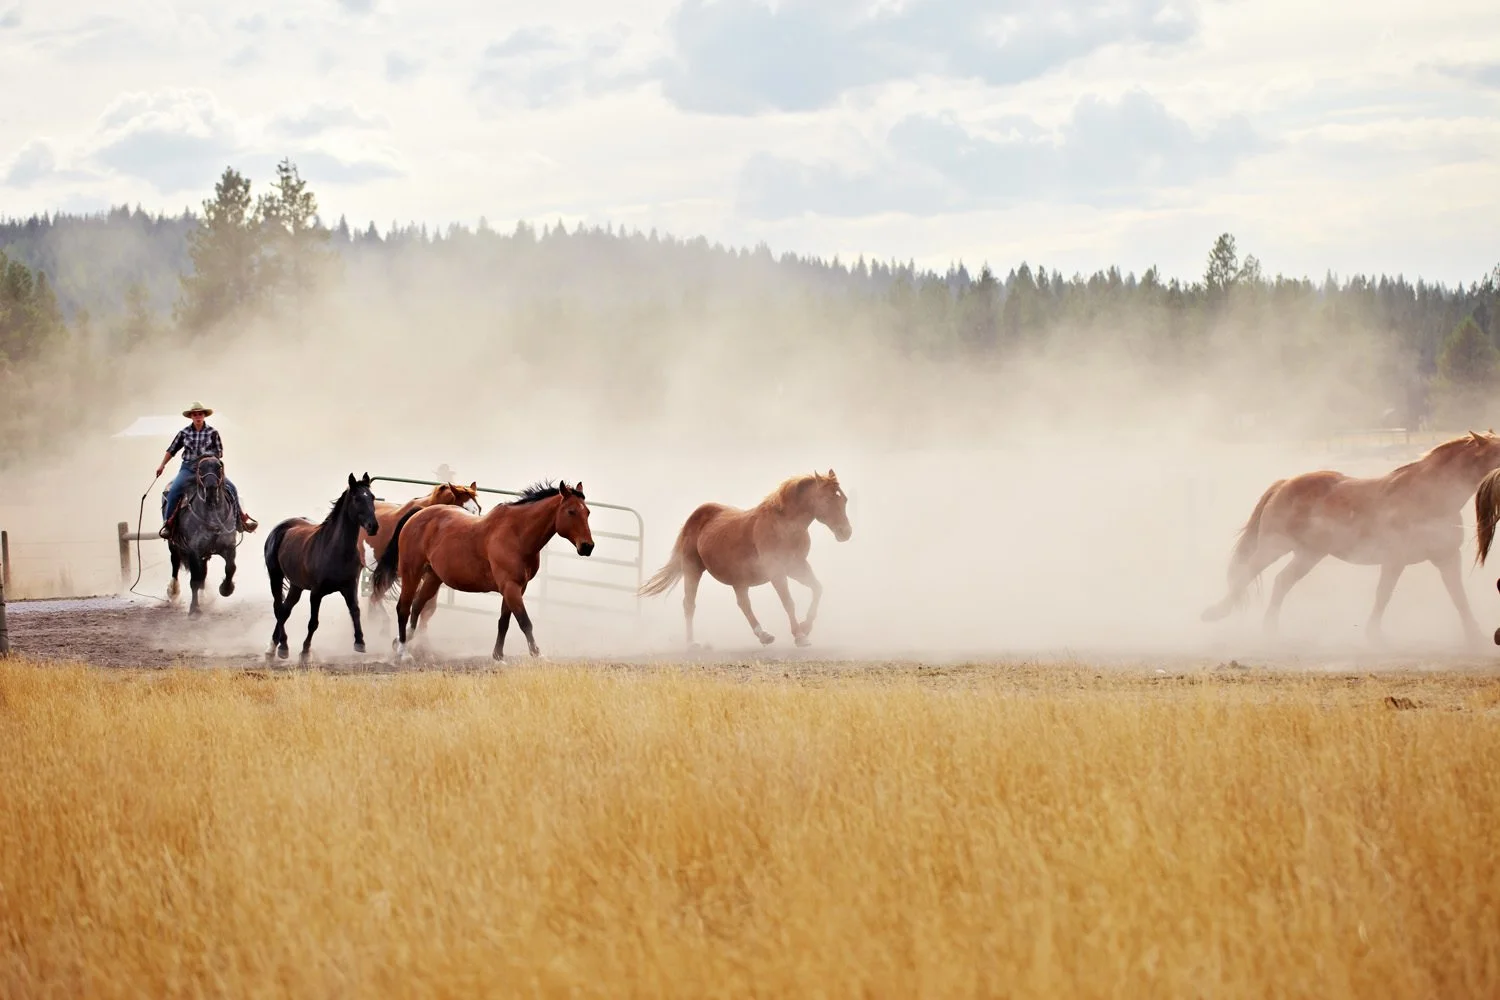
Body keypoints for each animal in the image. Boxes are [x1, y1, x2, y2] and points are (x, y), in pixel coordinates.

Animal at [164, 455, 241, 616]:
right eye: (200, 469)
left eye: (219, 467)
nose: (211, 488)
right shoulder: (194, 551)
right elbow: (194, 581)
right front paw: (194, 609)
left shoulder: (229, 546)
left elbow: (230, 568)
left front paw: (226, 589)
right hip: (173, 545)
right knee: (175, 565)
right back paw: (173, 591)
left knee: (203, 573)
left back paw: (204, 597)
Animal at [263, 473, 381, 662]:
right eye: (356, 498)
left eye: (372, 497)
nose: (373, 527)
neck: (335, 550)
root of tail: (280, 528)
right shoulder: (316, 592)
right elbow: (313, 623)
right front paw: (305, 652)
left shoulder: (350, 586)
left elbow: (355, 611)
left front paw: (360, 642)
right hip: (276, 576)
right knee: (279, 609)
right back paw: (279, 647)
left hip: (296, 585)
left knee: (285, 610)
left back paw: (277, 647)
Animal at [371, 480, 594, 661]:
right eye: (571, 511)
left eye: (587, 512)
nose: (587, 546)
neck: (517, 534)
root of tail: (417, 514)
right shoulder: (510, 587)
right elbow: (524, 621)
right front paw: (537, 654)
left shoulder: (516, 588)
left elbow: (504, 621)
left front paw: (498, 656)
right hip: (412, 572)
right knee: (404, 607)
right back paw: (403, 651)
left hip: (434, 577)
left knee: (417, 606)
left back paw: (403, 641)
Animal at [639, 470, 852, 649]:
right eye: (827, 499)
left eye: (844, 499)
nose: (846, 532)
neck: (783, 526)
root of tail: (694, 517)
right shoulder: (776, 571)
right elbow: (788, 602)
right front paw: (800, 636)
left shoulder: (796, 566)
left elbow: (817, 588)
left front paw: (805, 627)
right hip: (693, 570)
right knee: (689, 604)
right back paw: (691, 642)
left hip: (739, 580)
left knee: (744, 604)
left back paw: (764, 635)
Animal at [1201, 430, 1500, 646]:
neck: (1430, 497)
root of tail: (1284, 484)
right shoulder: (1395, 560)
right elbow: (1383, 595)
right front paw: (1374, 635)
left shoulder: (1446, 557)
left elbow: (1459, 597)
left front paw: (1475, 636)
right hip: (1274, 546)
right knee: (1247, 573)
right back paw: (1216, 613)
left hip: (1309, 555)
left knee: (1281, 582)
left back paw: (1271, 629)